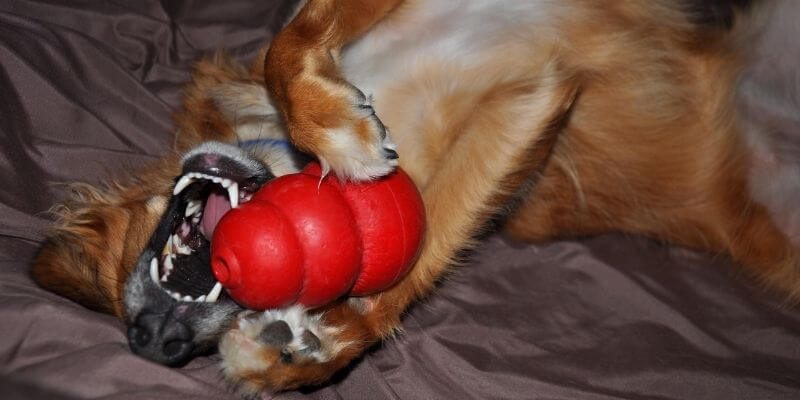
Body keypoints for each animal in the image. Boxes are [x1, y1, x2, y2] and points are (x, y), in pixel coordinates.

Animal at [28, 0, 796, 396]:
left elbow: (287, 43)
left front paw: (338, 128)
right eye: (120, 313)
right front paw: (313, 347)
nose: (155, 343)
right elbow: (422, 252)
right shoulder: (529, 100)